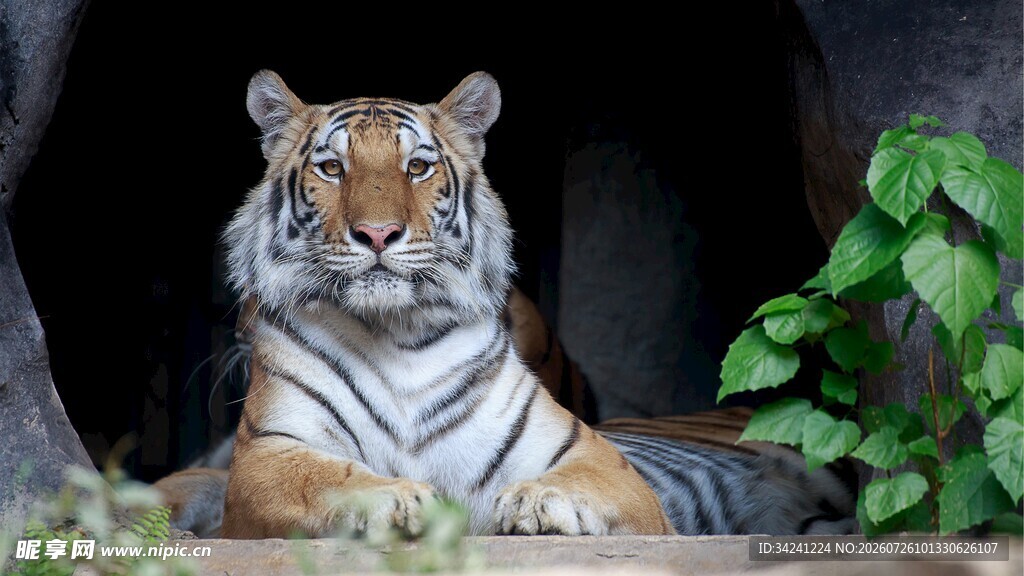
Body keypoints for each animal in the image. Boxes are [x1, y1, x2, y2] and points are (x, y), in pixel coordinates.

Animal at [157, 70, 857, 539]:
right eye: (332, 168)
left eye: (417, 167)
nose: (379, 233)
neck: (395, 333)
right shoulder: (268, 455)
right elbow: (328, 478)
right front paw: (400, 501)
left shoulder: (594, 457)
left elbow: (580, 480)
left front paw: (536, 505)